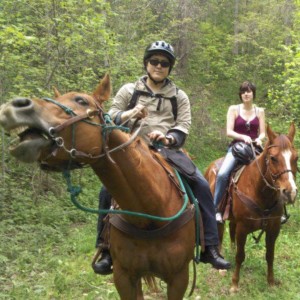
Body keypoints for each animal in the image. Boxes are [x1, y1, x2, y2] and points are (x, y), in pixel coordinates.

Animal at [204, 123, 298, 292]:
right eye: (273, 158)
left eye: (296, 158)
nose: (290, 192)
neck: (260, 192)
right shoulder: (243, 228)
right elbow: (240, 256)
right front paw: (234, 284)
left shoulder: (273, 229)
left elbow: (270, 255)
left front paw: (271, 283)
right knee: (220, 233)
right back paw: (220, 262)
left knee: (231, 230)